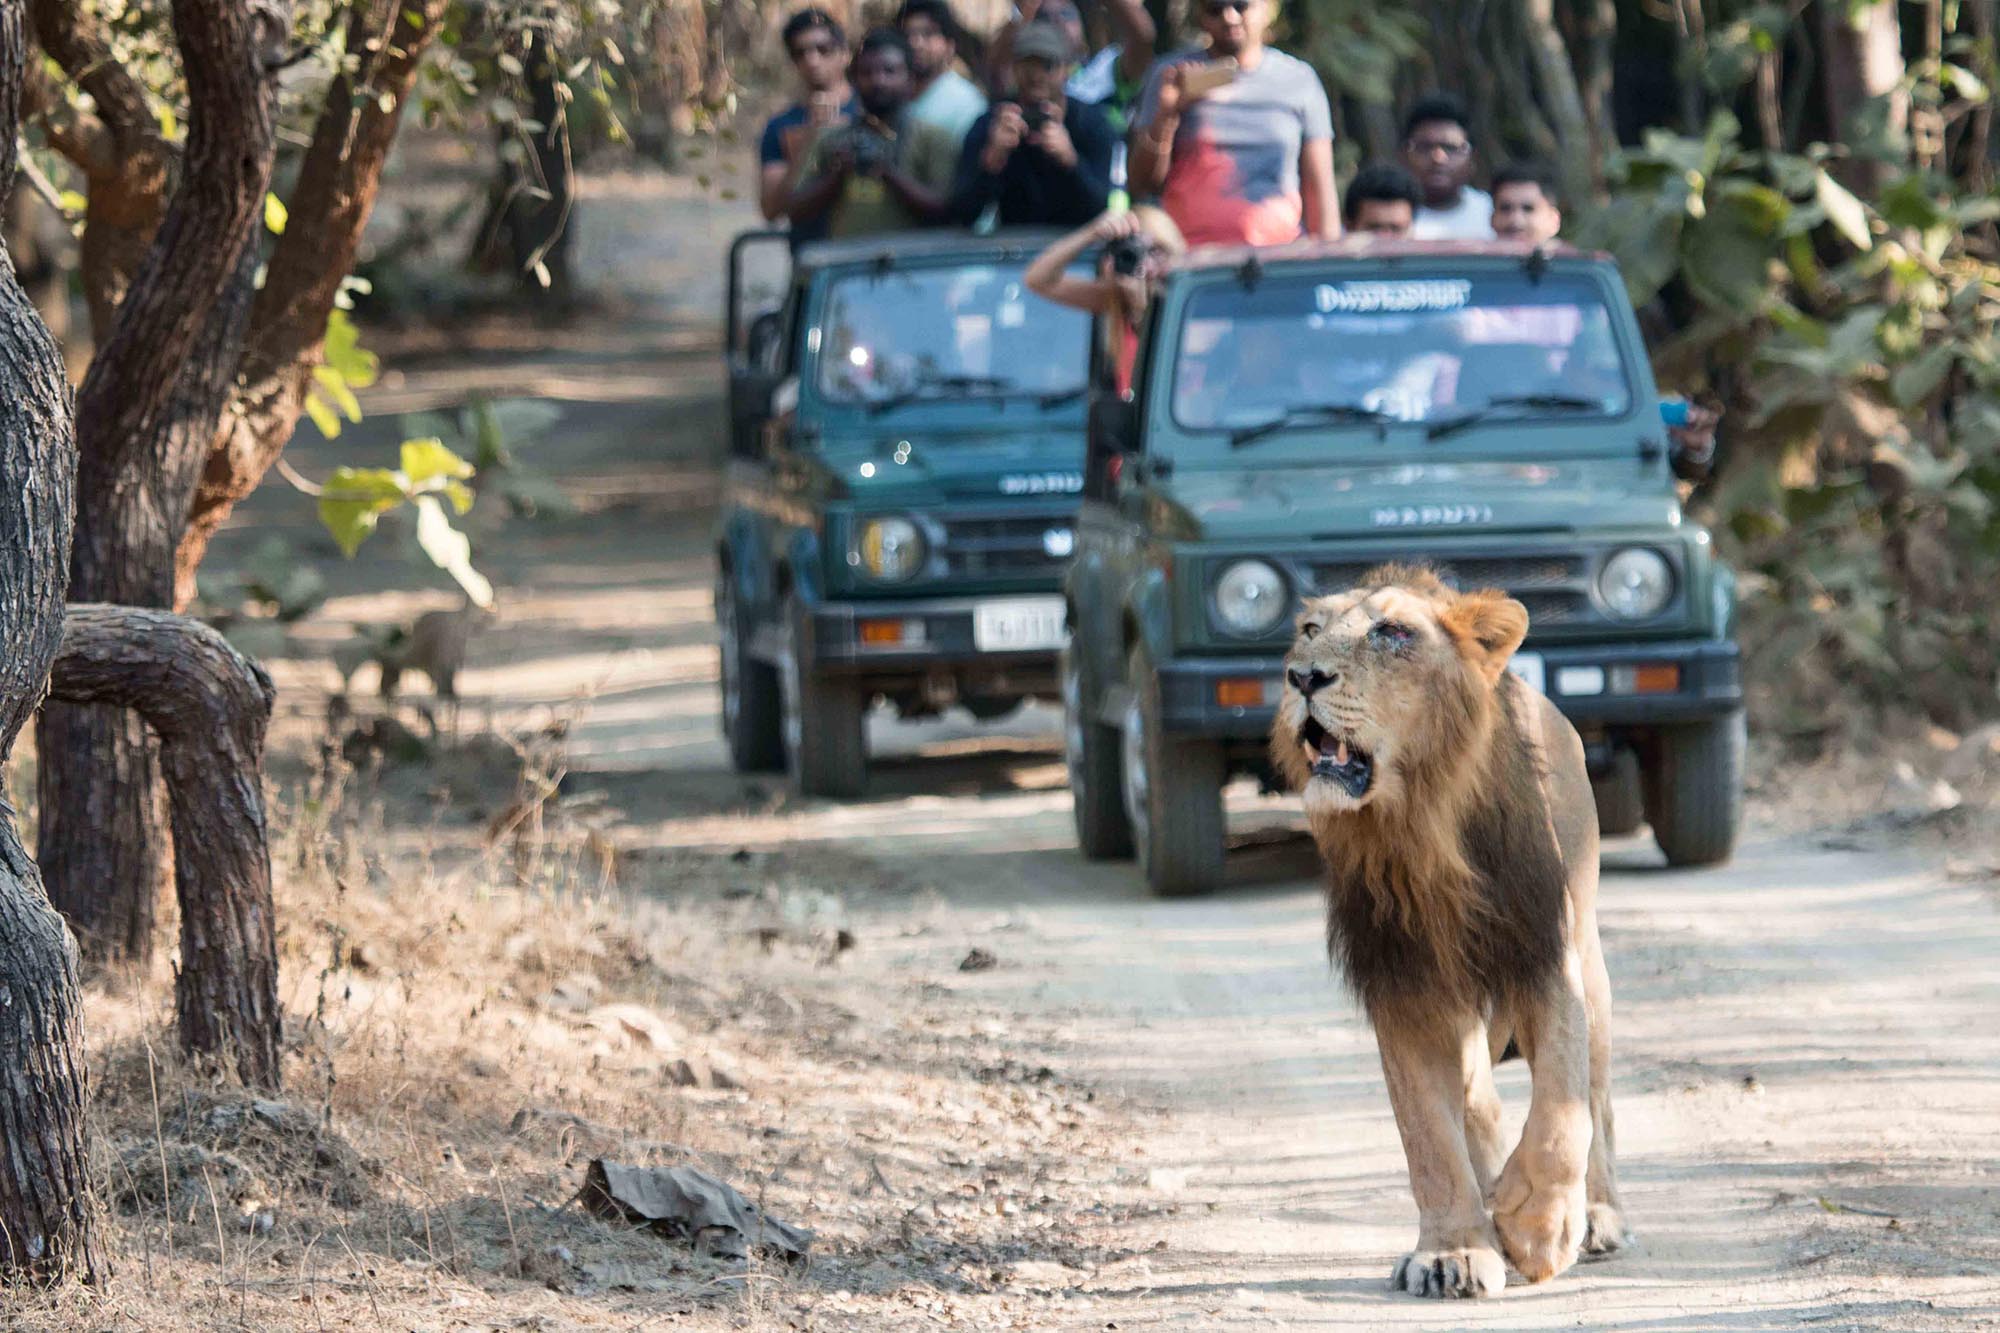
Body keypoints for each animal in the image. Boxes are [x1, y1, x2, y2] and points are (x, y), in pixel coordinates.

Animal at [1280, 564, 1624, 1296]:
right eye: (1309, 630)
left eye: (1392, 632)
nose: (1301, 676)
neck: (1420, 827)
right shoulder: (1404, 987)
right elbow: (1429, 1137)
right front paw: (1454, 1250)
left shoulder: (1545, 955)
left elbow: (1562, 1111)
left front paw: (1538, 1226)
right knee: (1475, 1095)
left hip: (1590, 958)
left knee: (1597, 1095)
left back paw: (1599, 1215)